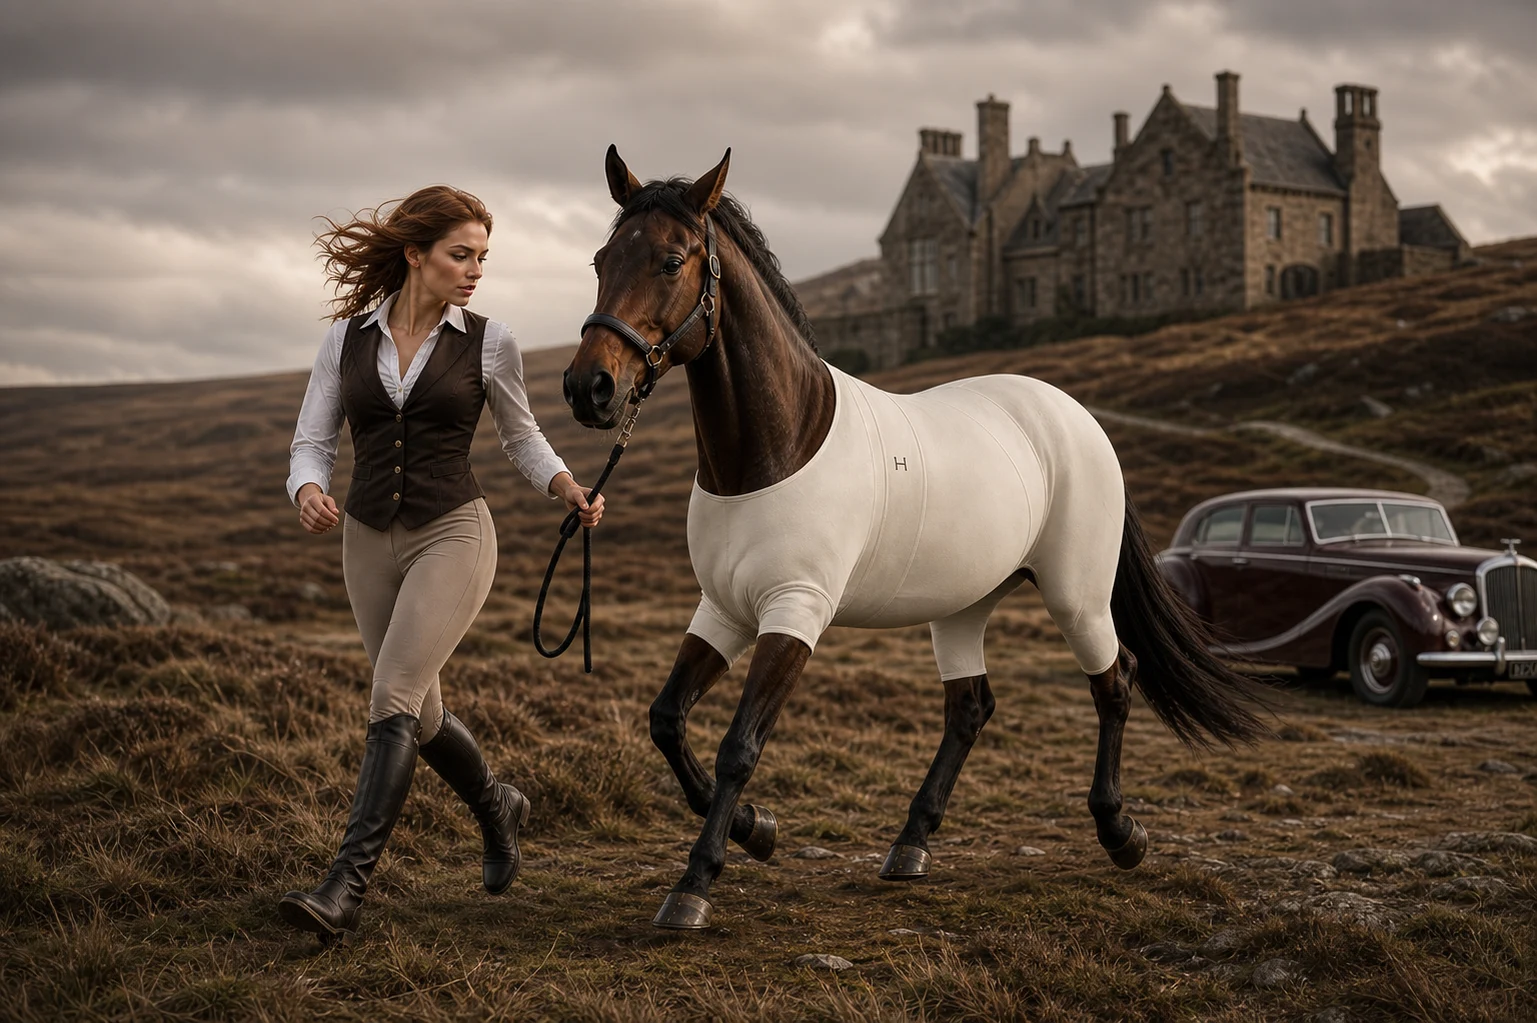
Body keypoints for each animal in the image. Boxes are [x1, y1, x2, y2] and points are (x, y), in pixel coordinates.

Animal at [562, 146, 1270, 930]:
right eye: (602, 259)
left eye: (670, 260)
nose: (589, 388)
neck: (777, 445)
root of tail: (1075, 417)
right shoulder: (722, 610)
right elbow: (667, 721)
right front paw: (757, 828)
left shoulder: (794, 614)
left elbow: (738, 746)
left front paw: (696, 882)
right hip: (962, 606)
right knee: (969, 709)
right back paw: (911, 844)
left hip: (1075, 595)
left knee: (1115, 682)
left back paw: (1119, 831)